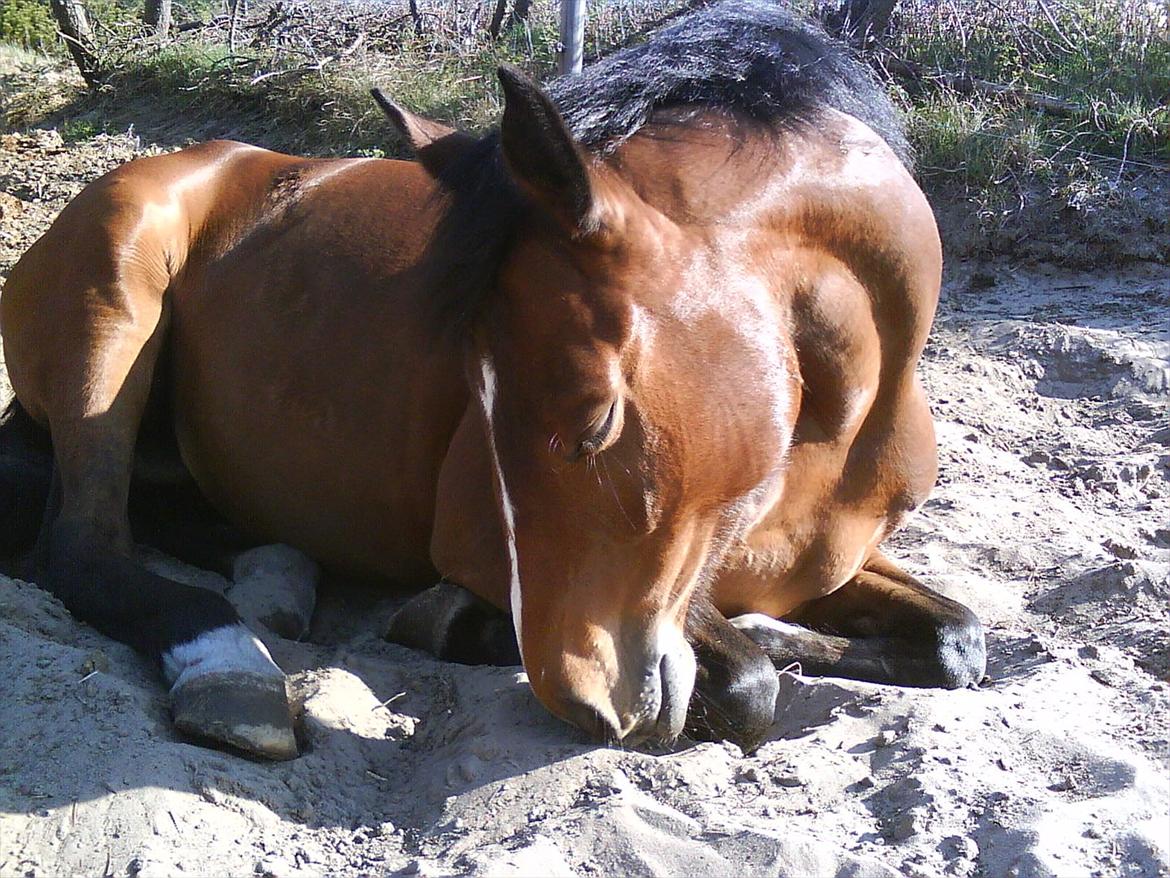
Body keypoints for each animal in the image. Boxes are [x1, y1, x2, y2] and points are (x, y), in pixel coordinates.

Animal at [0, 1, 987, 763]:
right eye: (475, 398)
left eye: (596, 422)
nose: (583, 702)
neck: (833, 434)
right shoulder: (492, 552)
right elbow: (748, 684)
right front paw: (455, 624)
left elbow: (957, 643)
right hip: (113, 302)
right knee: (83, 544)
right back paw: (229, 666)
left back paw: (275, 575)